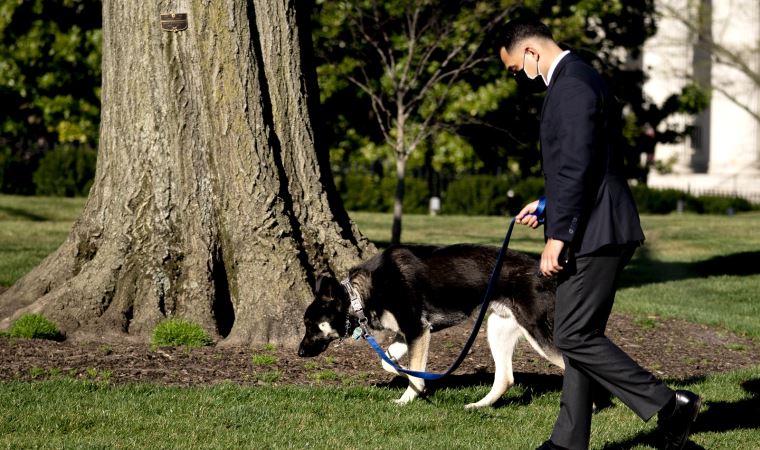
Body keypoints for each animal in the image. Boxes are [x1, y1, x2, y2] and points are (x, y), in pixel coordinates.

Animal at [296, 244, 564, 410]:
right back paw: (477, 406)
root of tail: (546, 273)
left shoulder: (416, 329)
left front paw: (407, 398)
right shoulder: (409, 333)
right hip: (497, 327)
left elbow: (412, 370)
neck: (361, 294)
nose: (299, 352)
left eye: (310, 325)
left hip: (537, 332)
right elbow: (389, 363)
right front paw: (411, 377)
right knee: (506, 378)